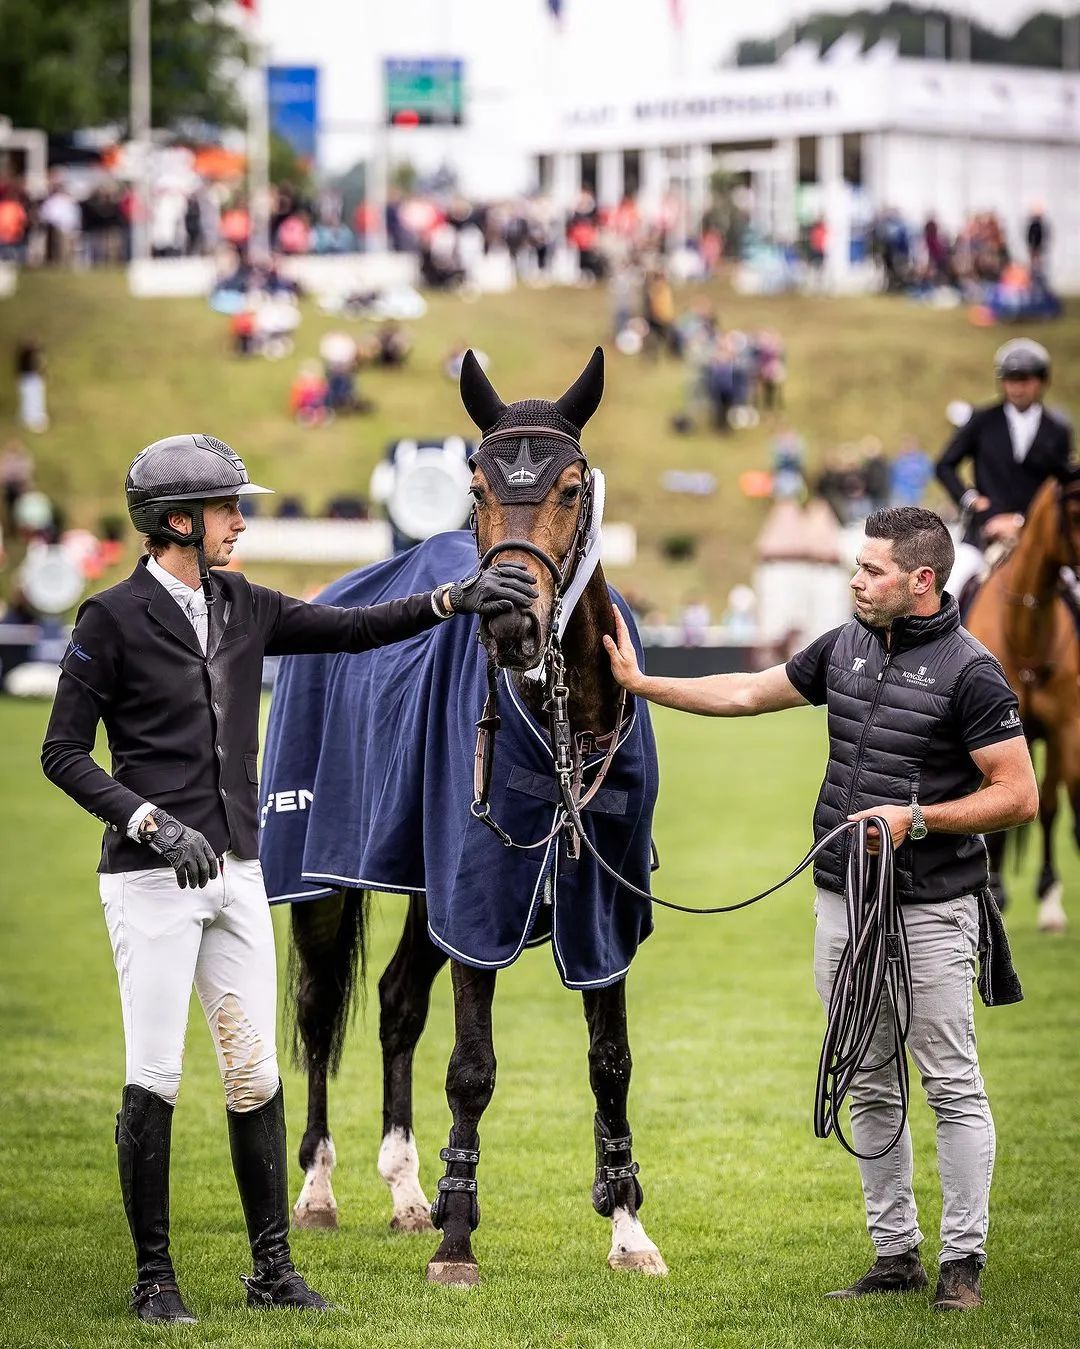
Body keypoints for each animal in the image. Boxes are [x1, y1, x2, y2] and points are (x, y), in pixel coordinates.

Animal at [259, 347, 667, 1285]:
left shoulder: (602, 908)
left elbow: (611, 1062)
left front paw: (627, 1226)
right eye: (476, 485)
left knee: (397, 1002)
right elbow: (473, 1067)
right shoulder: (477, 897)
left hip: (422, 886)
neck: (564, 724)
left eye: (570, 486)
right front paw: (456, 1239)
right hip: (319, 879)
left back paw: (407, 1187)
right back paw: (320, 1187)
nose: (512, 614)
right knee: (315, 1010)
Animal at [964, 471, 1080, 932]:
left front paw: (1049, 898)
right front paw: (994, 888)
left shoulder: (1068, 727)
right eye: (1074, 512)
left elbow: (1054, 804)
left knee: (1051, 802)